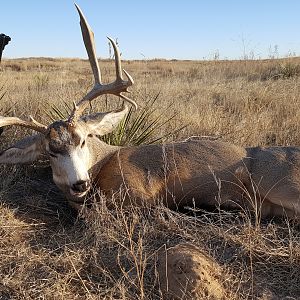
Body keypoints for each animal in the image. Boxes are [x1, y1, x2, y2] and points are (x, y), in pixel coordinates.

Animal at [0, 4, 298, 218]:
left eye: (83, 140)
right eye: (51, 151)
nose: (79, 184)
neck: (102, 164)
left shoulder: (139, 191)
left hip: (280, 183)